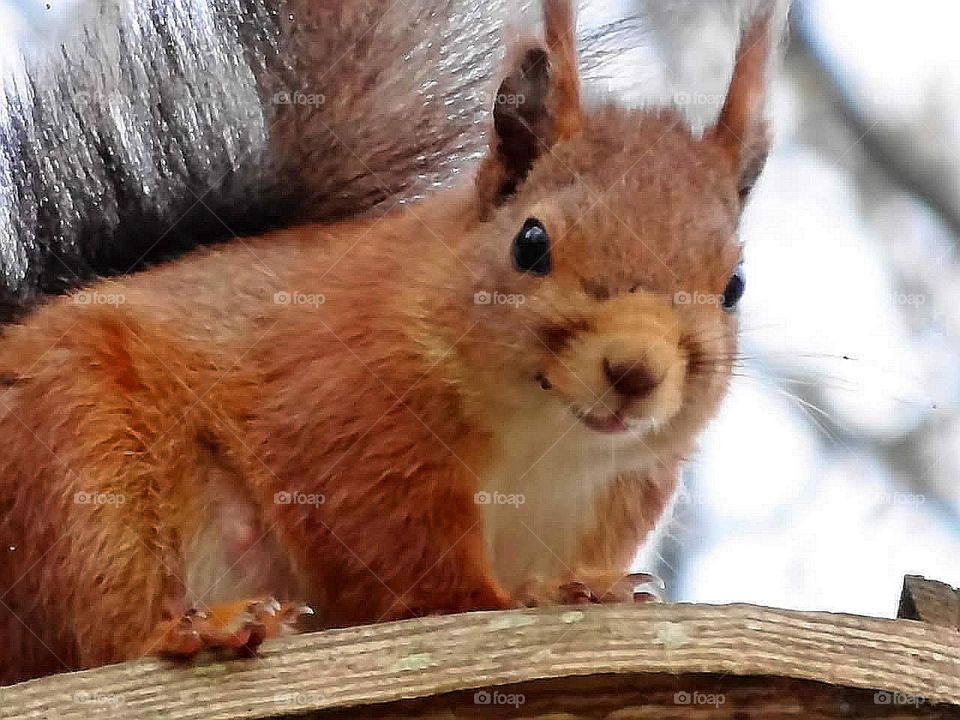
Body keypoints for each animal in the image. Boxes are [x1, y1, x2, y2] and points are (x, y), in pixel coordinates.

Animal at [0, 0, 772, 683]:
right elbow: (415, 575)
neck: (543, 441)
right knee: (111, 626)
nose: (634, 370)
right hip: (77, 456)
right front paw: (525, 599)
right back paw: (201, 629)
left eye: (735, 286)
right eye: (531, 243)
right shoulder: (347, 415)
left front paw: (594, 589)